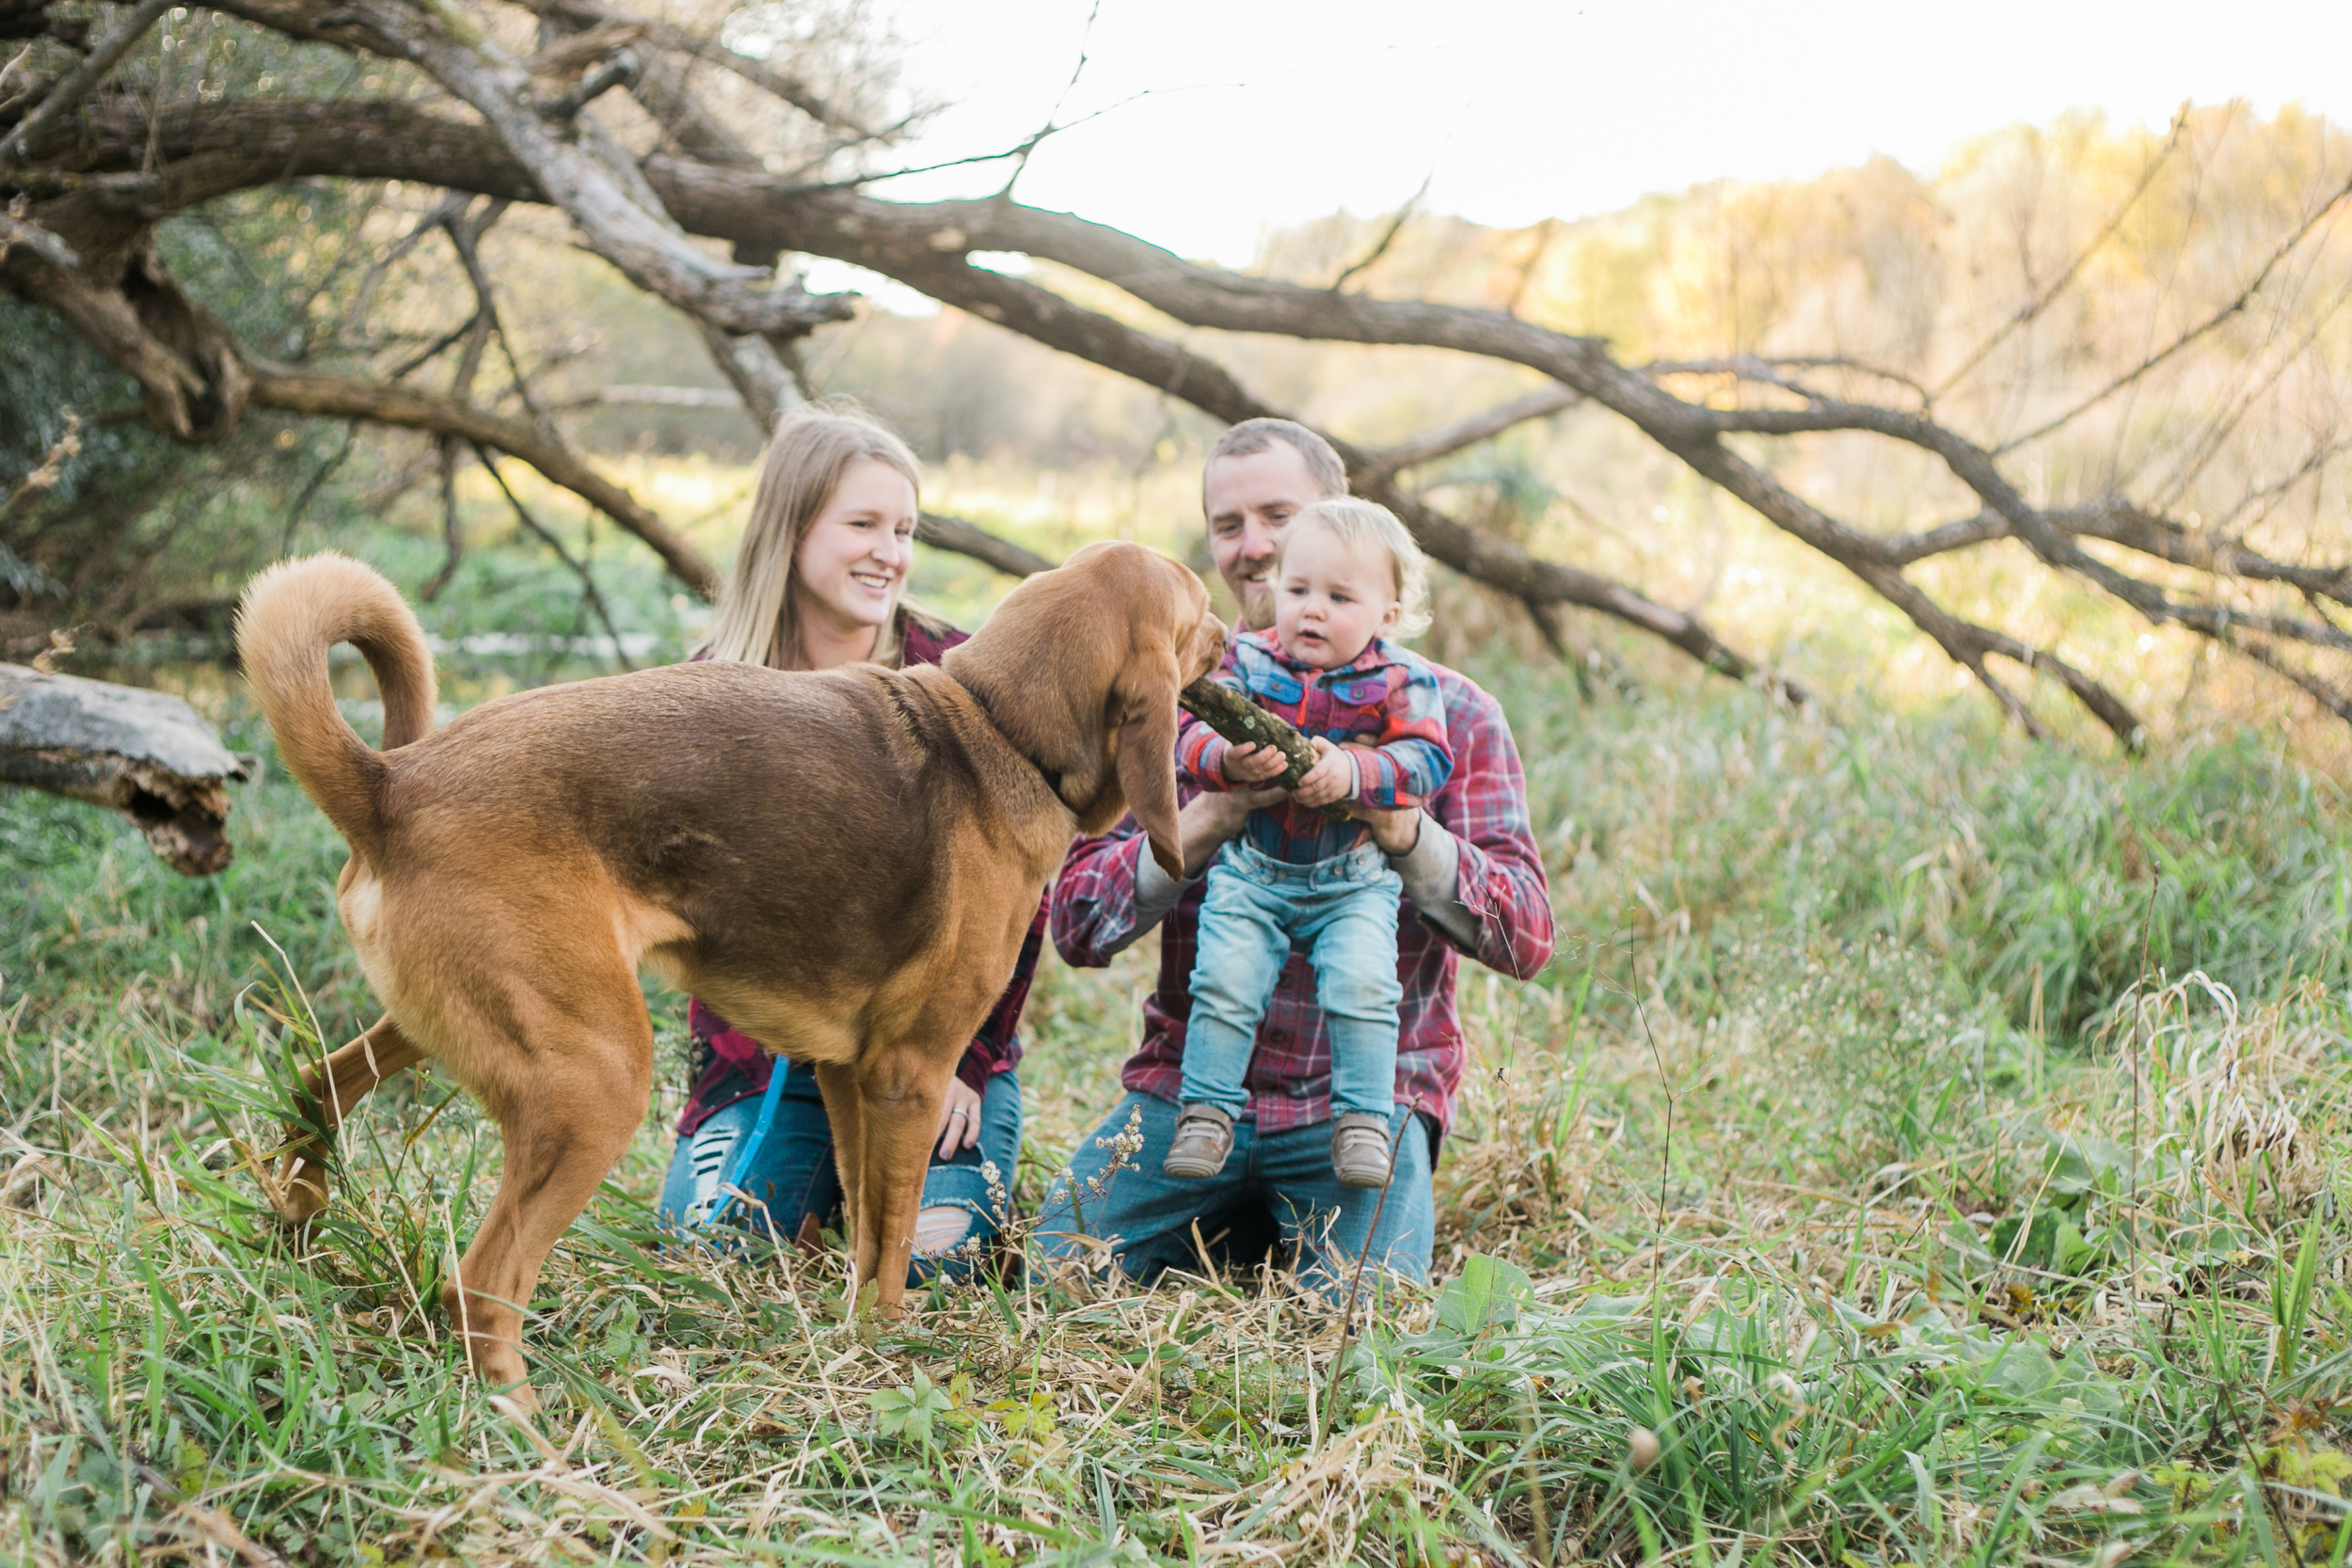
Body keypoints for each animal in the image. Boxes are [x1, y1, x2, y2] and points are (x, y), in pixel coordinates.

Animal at [233, 540, 1232, 1401]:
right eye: (1197, 608)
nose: (1232, 634)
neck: (1000, 726)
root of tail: (389, 784)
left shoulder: (847, 1075)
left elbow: (866, 1224)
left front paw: (851, 1332)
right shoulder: (910, 1076)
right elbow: (897, 1238)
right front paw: (888, 1341)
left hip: (442, 1026)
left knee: (318, 1085)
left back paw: (300, 1229)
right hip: (595, 1081)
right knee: (480, 1283)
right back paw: (534, 1434)